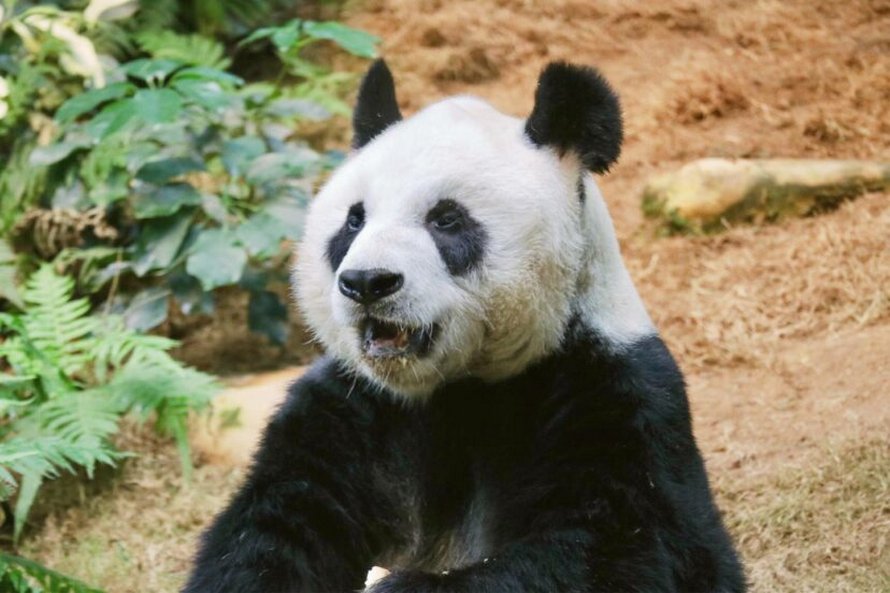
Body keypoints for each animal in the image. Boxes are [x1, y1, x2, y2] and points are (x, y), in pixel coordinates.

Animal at [183, 60, 746, 593]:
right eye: (354, 221)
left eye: (447, 219)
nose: (368, 282)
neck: (460, 386)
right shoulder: (350, 410)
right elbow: (269, 532)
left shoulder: (616, 391)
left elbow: (624, 548)